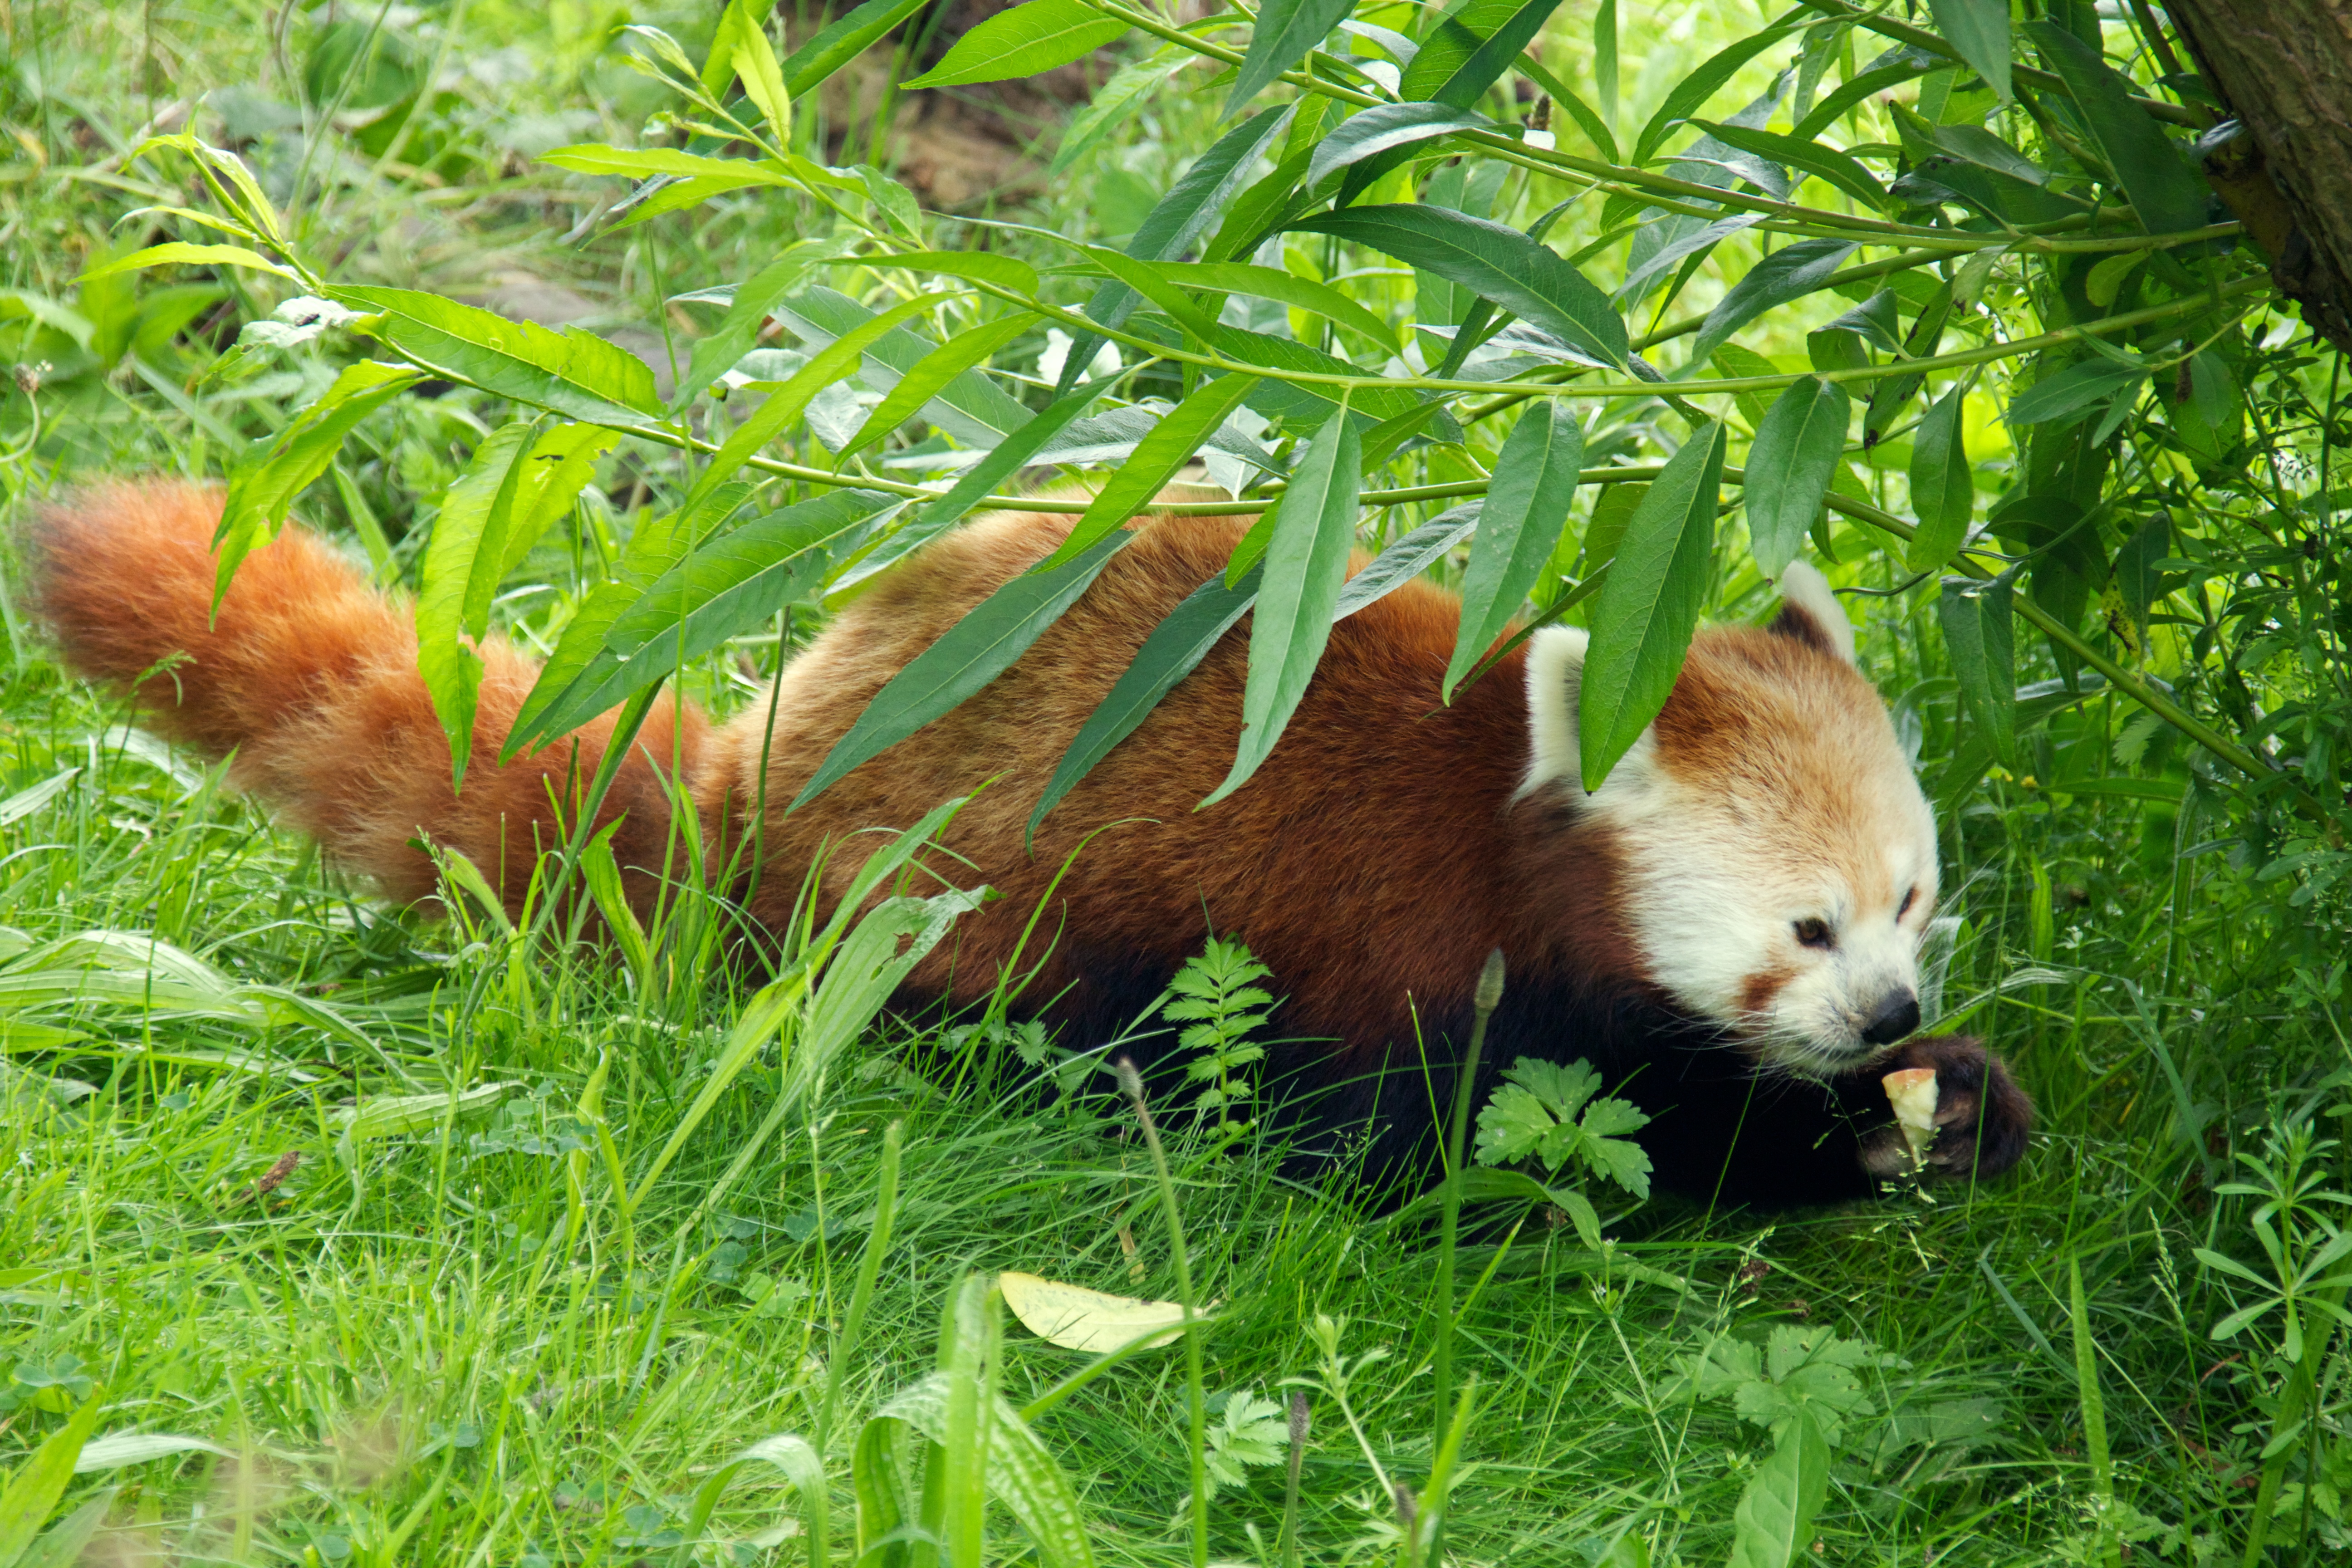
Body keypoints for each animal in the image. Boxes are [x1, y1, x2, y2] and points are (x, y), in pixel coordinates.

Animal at [18, 484, 2032, 1213]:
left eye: (1912, 902)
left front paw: (1953, 1105)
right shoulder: (1412, 943)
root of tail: (756, 764)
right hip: (976, 897)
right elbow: (1474, 1137)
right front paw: (1822, 1143)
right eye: (1805, 927)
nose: (1885, 1016)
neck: (1514, 817)